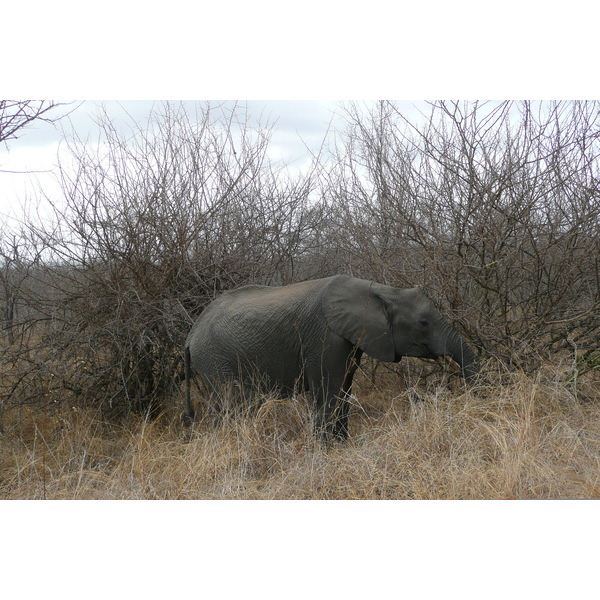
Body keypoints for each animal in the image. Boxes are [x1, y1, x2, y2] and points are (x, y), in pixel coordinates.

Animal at [183, 274, 478, 438]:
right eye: (424, 324)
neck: (379, 289)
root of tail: (190, 335)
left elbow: (344, 390)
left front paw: (341, 446)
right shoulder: (325, 336)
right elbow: (330, 392)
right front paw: (326, 452)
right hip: (217, 360)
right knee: (232, 406)